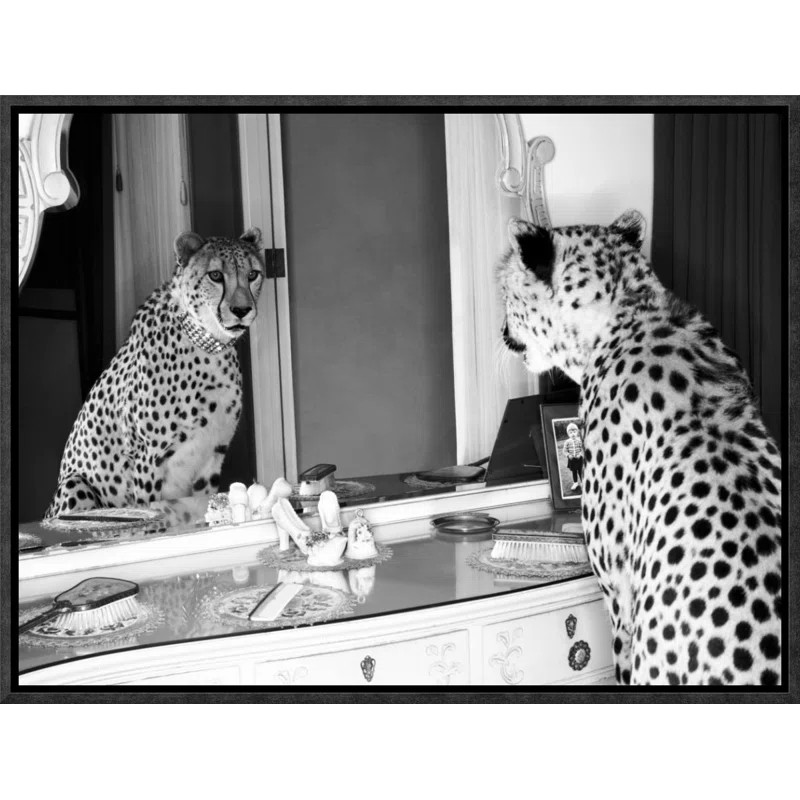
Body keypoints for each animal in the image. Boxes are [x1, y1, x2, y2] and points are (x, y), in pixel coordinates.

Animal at [45, 228, 265, 519]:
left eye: (253, 275)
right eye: (216, 275)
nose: (242, 310)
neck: (207, 344)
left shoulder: (212, 454)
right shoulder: (147, 455)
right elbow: (149, 506)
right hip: (74, 483)